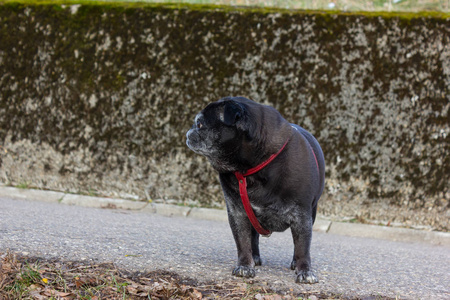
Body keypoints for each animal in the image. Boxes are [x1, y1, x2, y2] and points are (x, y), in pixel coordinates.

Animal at [185, 96, 326, 284]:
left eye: (199, 124)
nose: (188, 132)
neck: (252, 168)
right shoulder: (238, 213)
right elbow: (243, 241)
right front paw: (245, 265)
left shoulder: (302, 216)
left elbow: (303, 246)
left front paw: (304, 270)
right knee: (253, 238)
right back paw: (255, 257)